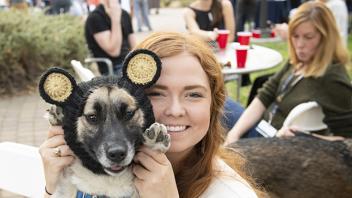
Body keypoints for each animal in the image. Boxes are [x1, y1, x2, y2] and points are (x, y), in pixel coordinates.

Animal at [38, 48, 170, 197]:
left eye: (128, 114)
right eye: (92, 117)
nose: (117, 154)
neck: (109, 182)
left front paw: (155, 143)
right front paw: (60, 115)